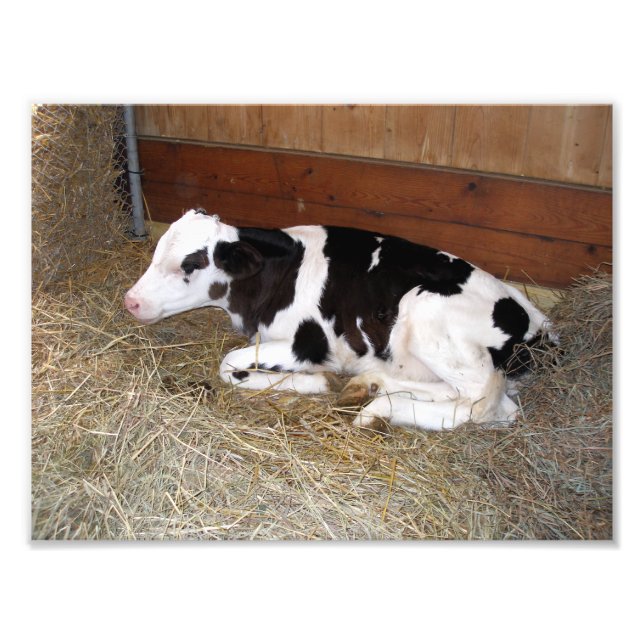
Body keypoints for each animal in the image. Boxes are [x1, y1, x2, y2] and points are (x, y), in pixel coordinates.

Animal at [124, 208, 555, 431]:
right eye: (157, 251)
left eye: (191, 263)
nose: (131, 301)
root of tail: (539, 326)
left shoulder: (308, 341)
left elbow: (228, 363)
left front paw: (313, 381)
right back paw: (369, 386)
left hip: (428, 313)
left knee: (482, 405)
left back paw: (378, 411)